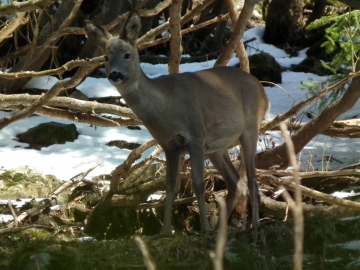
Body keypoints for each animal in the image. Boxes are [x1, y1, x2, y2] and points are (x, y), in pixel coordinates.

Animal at [86, 11, 268, 234]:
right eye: (106, 57)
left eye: (127, 55)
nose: (115, 74)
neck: (167, 108)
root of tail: (262, 89)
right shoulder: (170, 146)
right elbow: (170, 186)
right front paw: (165, 231)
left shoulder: (196, 136)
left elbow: (198, 184)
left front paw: (204, 228)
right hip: (217, 148)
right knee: (236, 182)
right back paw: (221, 230)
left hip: (250, 127)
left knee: (252, 178)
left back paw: (254, 225)